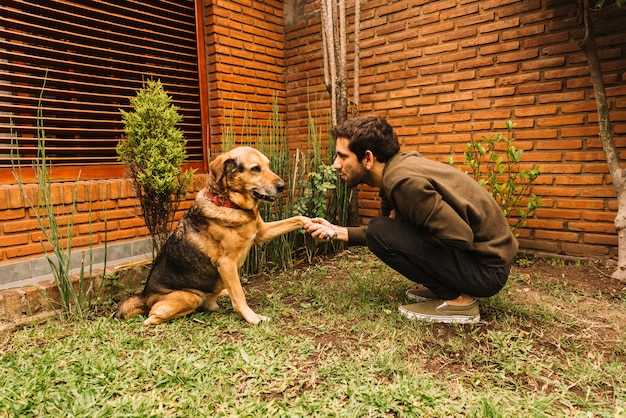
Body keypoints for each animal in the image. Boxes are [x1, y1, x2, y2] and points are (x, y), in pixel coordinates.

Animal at [116, 147, 308, 326]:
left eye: (268, 165)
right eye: (255, 168)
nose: (283, 186)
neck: (229, 203)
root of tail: (143, 296)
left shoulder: (261, 233)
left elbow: (296, 219)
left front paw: (311, 222)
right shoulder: (226, 264)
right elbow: (239, 295)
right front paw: (252, 317)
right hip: (189, 297)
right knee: (152, 317)